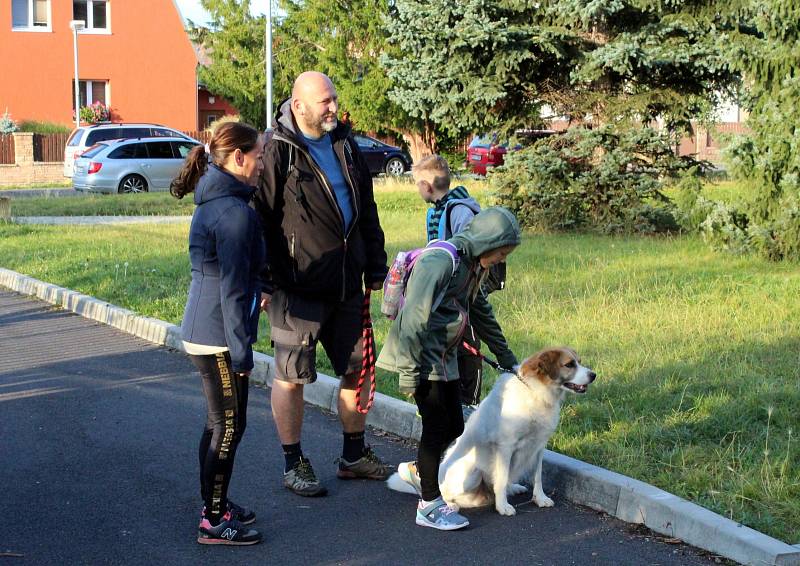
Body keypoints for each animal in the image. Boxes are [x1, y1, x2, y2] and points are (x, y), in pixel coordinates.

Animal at [388, 348, 592, 516]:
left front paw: (540, 498)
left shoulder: (539, 446)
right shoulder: (505, 447)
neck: (536, 392)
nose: (594, 375)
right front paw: (503, 507)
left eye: (579, 361)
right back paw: (450, 505)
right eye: (569, 364)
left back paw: (512, 488)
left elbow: (538, 477)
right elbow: (501, 479)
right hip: (472, 471)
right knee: (448, 494)